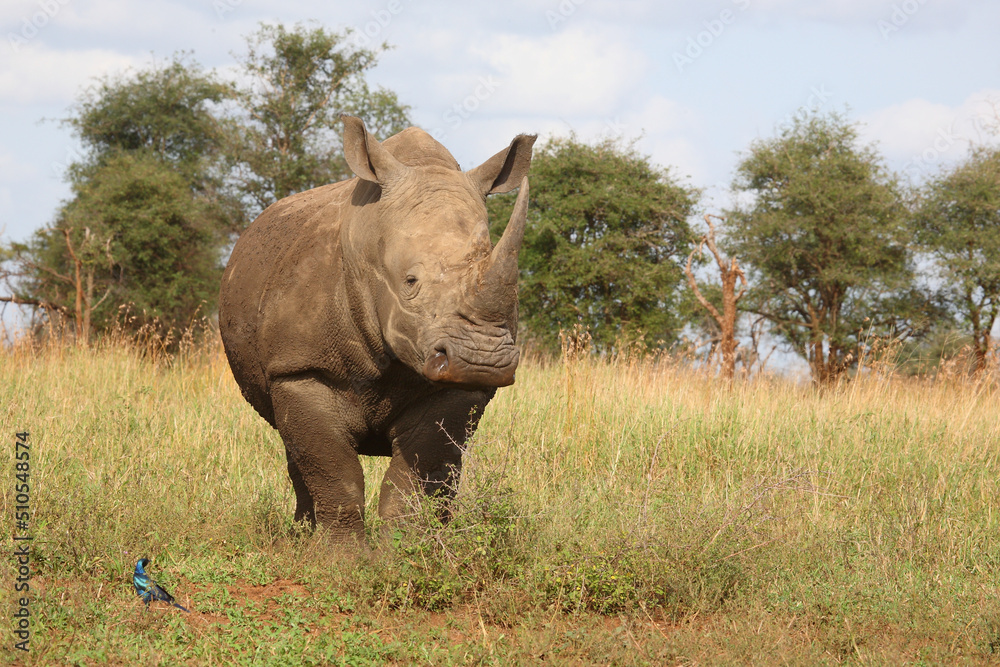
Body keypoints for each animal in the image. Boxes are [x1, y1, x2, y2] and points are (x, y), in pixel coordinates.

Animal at [219, 116, 535, 540]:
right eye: (410, 282)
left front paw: (407, 548)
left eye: (514, 293)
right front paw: (340, 554)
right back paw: (301, 537)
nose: (480, 361)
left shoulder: (456, 387)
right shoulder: (299, 369)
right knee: (294, 448)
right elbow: (334, 473)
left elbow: (417, 473)